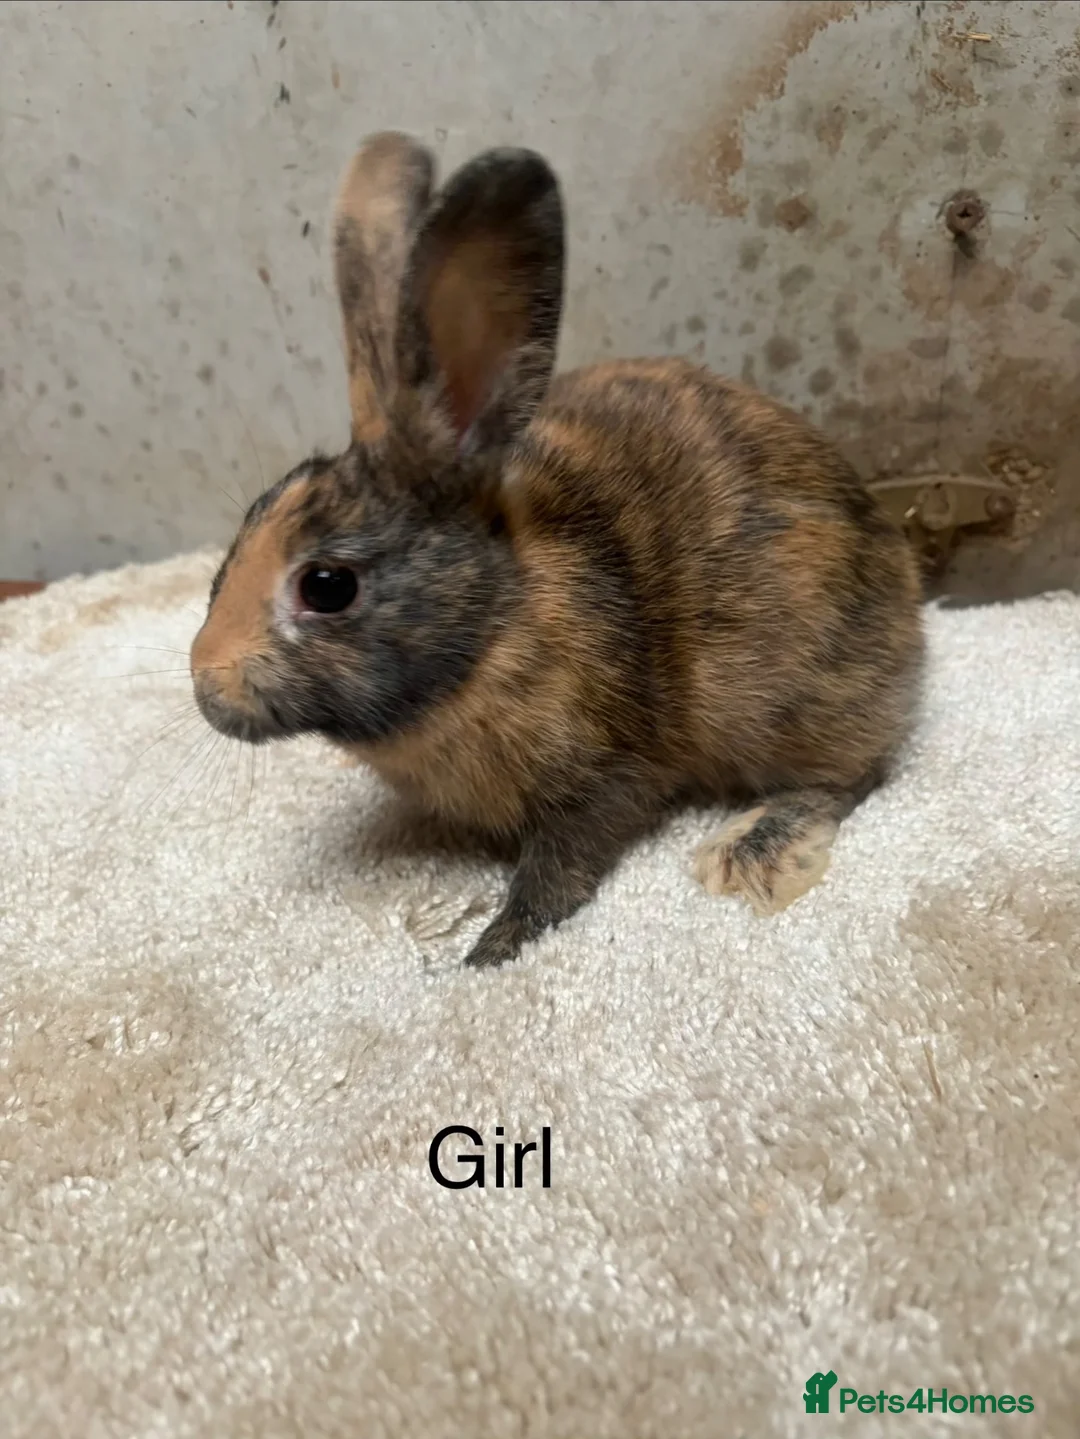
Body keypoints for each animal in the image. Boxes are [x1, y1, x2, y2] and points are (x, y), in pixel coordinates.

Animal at [190, 131, 925, 969]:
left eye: (326, 585)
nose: (205, 686)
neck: (492, 622)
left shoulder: (602, 778)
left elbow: (559, 867)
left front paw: (491, 949)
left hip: (794, 692)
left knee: (850, 775)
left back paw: (753, 850)